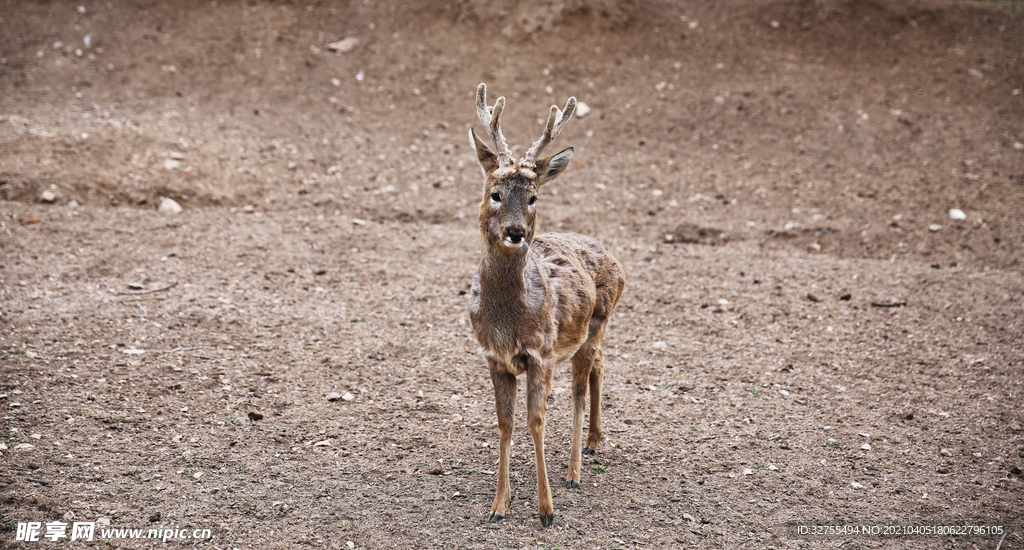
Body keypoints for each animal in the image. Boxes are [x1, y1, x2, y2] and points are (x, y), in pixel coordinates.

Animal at [466, 83, 622, 524]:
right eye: (495, 193)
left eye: (533, 197)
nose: (516, 232)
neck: (506, 317)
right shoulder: (493, 356)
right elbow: (504, 424)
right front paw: (498, 506)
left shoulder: (541, 352)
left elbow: (536, 421)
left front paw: (546, 509)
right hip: (590, 335)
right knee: (600, 364)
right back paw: (593, 441)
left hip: (594, 325)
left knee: (579, 390)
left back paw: (574, 471)